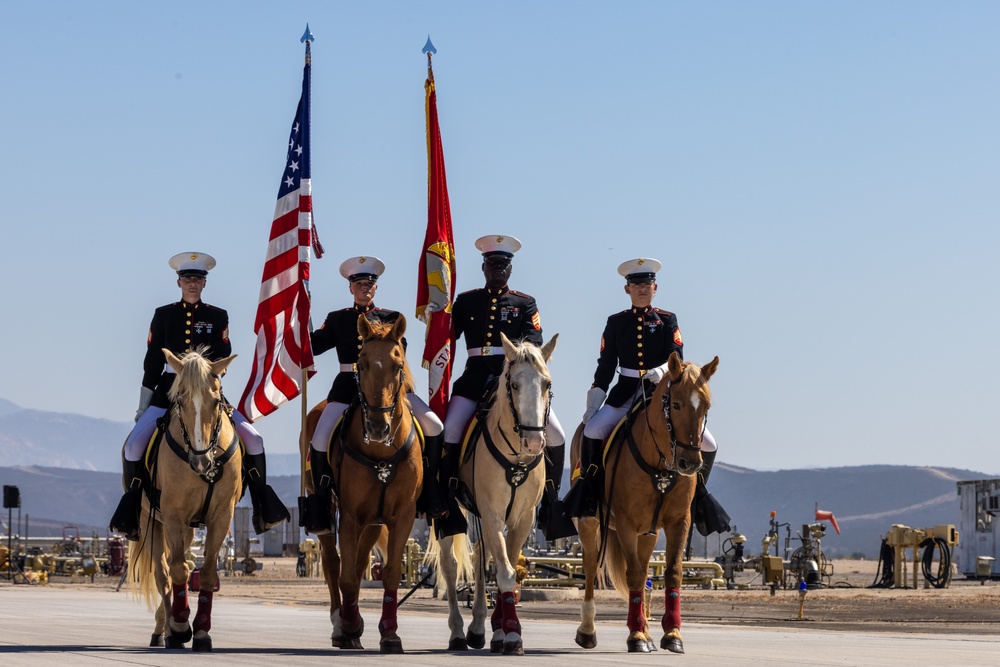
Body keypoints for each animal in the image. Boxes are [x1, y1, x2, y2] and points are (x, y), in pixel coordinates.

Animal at [129, 350, 242, 652]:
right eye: (180, 400)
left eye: (216, 401)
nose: (201, 462)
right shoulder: (172, 515)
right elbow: (177, 571)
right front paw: (180, 626)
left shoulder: (221, 516)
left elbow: (207, 572)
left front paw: (201, 630)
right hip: (151, 523)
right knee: (163, 573)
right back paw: (166, 630)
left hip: (189, 528)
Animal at [300, 316, 418, 656]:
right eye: (361, 363)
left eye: (397, 364)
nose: (378, 428)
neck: (380, 453)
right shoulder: (350, 515)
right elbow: (348, 576)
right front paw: (350, 625)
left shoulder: (401, 515)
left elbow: (389, 572)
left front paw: (389, 634)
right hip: (326, 509)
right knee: (333, 563)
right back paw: (341, 624)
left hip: (373, 521)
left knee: (361, 559)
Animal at [428, 332, 560, 656]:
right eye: (514, 385)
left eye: (547, 383)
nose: (533, 442)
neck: (517, 458)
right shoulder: (492, 513)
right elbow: (505, 571)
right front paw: (511, 633)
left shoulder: (522, 519)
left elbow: (507, 568)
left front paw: (501, 629)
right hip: (450, 513)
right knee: (450, 566)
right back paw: (457, 633)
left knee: (478, 558)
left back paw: (477, 629)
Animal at [572, 352, 720, 656]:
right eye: (676, 404)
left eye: (706, 406)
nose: (690, 464)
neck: (661, 462)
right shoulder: (626, 524)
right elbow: (634, 575)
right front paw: (637, 635)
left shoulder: (679, 522)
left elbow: (673, 573)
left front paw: (672, 633)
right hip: (590, 523)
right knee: (591, 566)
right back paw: (588, 631)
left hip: (648, 533)